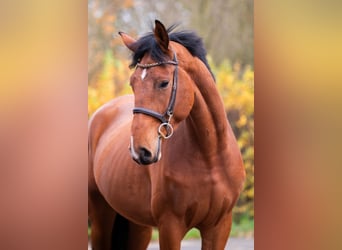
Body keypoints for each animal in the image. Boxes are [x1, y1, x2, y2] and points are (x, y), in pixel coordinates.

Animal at [87, 20, 244, 250]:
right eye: (133, 83)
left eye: (163, 83)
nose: (140, 151)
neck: (211, 157)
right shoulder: (170, 227)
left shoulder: (219, 227)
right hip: (101, 217)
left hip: (138, 226)